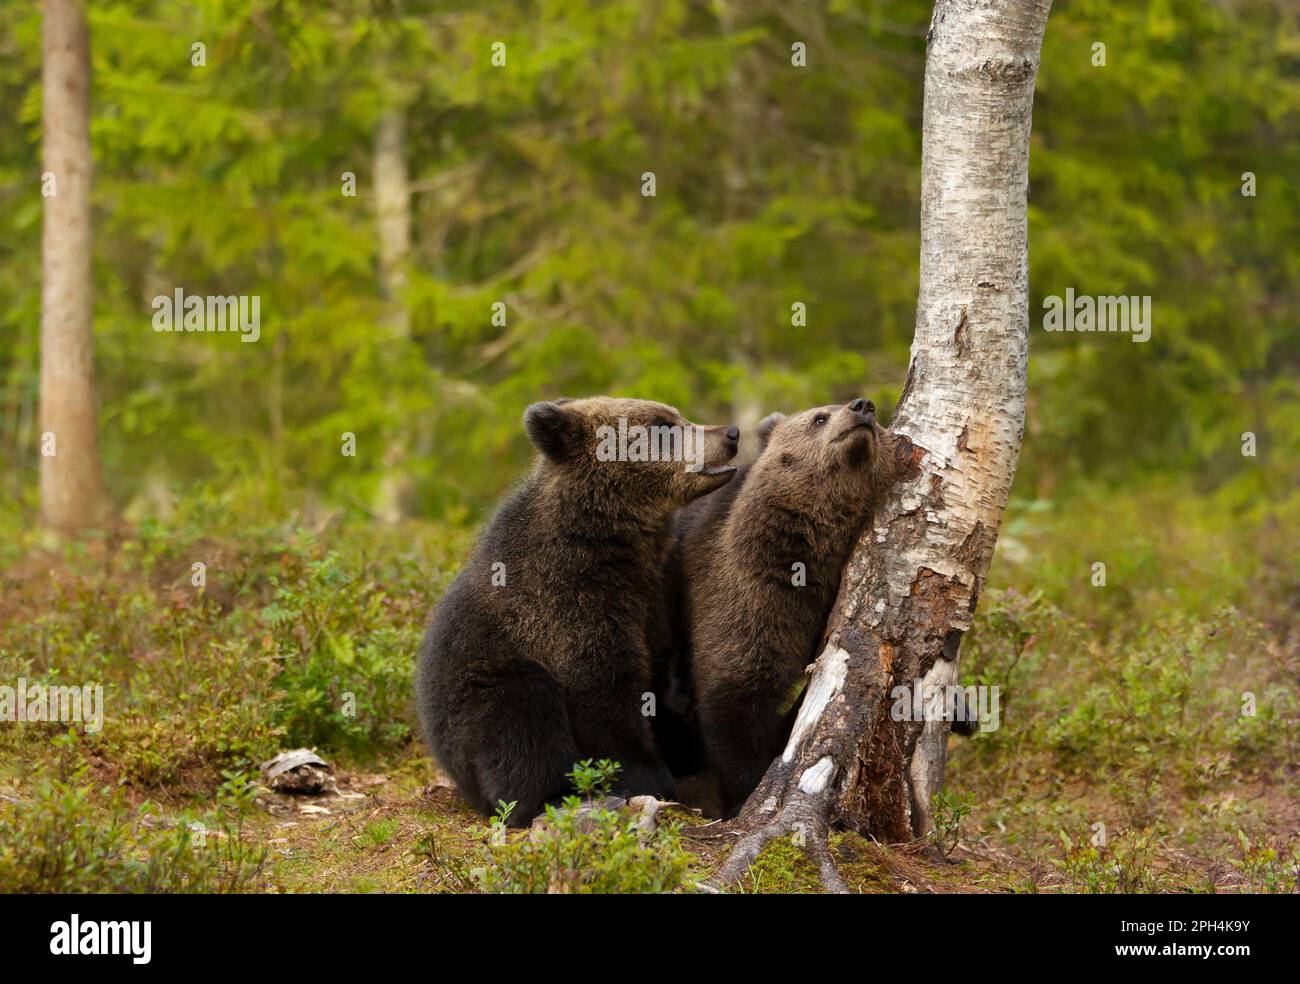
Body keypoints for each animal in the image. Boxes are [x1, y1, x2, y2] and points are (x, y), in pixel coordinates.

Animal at [418, 392, 743, 821]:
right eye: (662, 426)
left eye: (677, 416)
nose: (730, 433)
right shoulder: (565, 599)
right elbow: (600, 686)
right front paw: (648, 774)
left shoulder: (655, 588)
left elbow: (661, 666)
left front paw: (685, 743)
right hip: (479, 690)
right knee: (520, 719)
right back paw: (549, 796)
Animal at [670, 397, 894, 816]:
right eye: (819, 417)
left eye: (881, 425)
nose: (862, 406)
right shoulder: (745, 596)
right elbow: (735, 697)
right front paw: (747, 792)